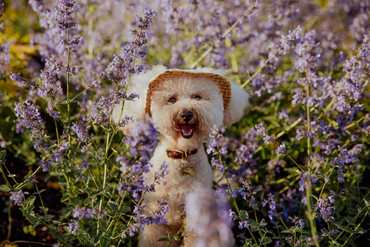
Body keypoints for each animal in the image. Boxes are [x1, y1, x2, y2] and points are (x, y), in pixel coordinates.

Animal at [112, 66, 250, 247]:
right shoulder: (154, 214)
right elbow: (153, 238)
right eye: (172, 100)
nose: (186, 114)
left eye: (197, 97)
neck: (182, 156)